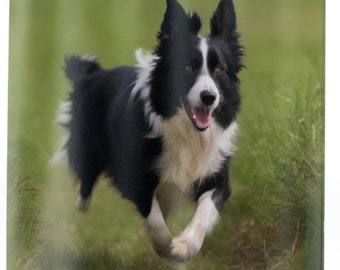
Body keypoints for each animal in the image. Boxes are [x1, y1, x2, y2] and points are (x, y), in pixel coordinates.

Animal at [54, 0, 243, 262]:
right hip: (89, 147)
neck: (187, 132)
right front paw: (167, 249)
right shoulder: (136, 174)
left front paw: (185, 246)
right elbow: (154, 219)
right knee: (85, 181)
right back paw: (79, 203)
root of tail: (95, 75)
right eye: (187, 68)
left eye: (219, 70)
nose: (209, 97)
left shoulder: (215, 173)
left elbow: (205, 209)